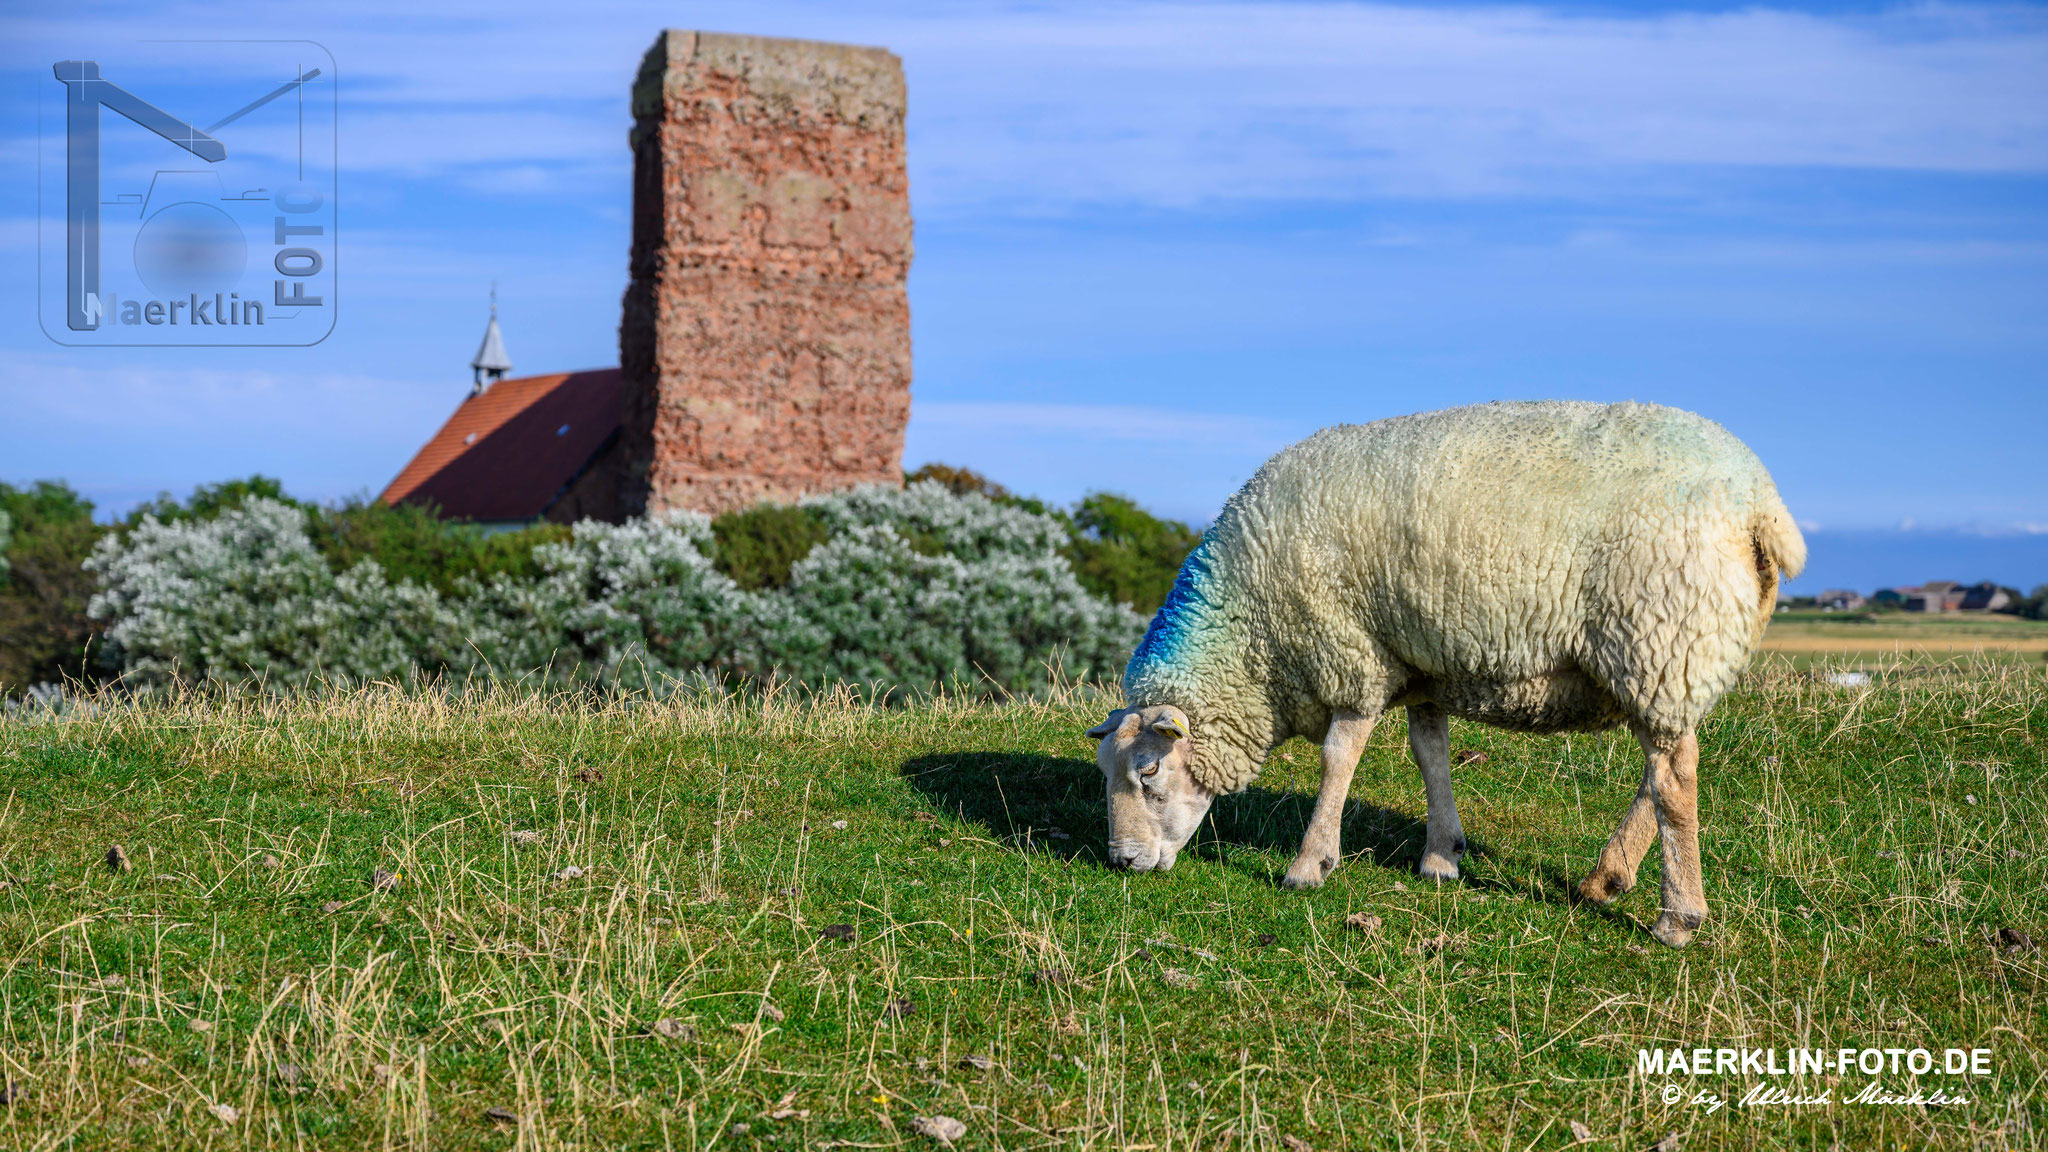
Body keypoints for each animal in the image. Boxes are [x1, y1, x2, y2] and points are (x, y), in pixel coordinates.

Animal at [1097, 399, 1802, 947]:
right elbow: (1429, 755)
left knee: (1674, 780)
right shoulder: (1421, 667)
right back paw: (1606, 879)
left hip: (1661, 638)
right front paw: (1442, 855)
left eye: (1149, 773)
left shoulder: (1353, 656)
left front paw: (1310, 863)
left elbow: (1337, 759)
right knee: (1663, 769)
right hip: (1666, 659)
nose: (1122, 862)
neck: (1253, 637)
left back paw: (1677, 917)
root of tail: (1760, 504)